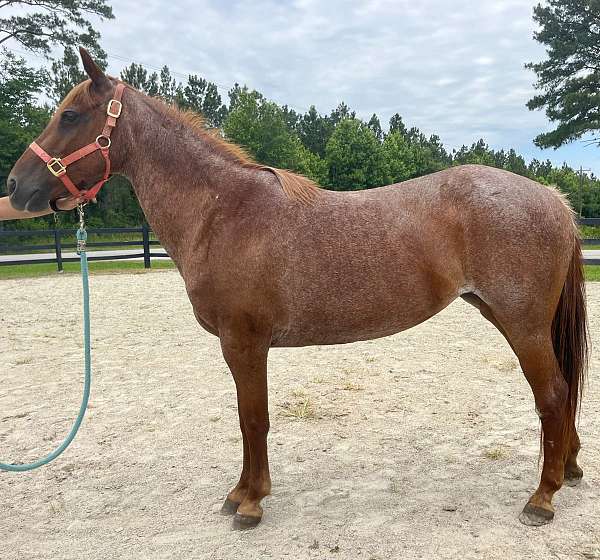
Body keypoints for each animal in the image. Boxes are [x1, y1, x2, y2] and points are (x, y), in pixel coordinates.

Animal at [7, 48, 588, 528]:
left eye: (70, 116)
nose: (16, 187)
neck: (223, 212)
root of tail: (553, 199)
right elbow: (250, 421)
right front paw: (241, 494)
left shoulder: (244, 343)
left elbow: (253, 419)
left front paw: (249, 502)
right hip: (504, 315)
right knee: (561, 392)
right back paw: (569, 471)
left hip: (522, 323)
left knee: (553, 394)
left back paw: (542, 498)